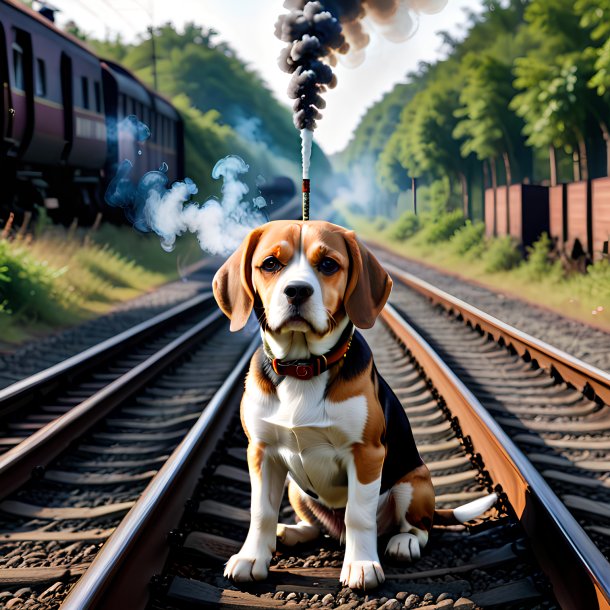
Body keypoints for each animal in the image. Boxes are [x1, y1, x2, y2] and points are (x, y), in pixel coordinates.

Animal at [213, 220, 494, 588]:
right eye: (270, 264)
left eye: (328, 264)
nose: (297, 291)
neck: (303, 368)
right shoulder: (262, 452)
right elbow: (260, 511)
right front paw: (251, 558)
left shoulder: (367, 454)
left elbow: (359, 515)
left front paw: (361, 565)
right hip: (296, 489)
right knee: (317, 527)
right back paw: (292, 532)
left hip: (414, 482)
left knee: (417, 527)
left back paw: (402, 542)